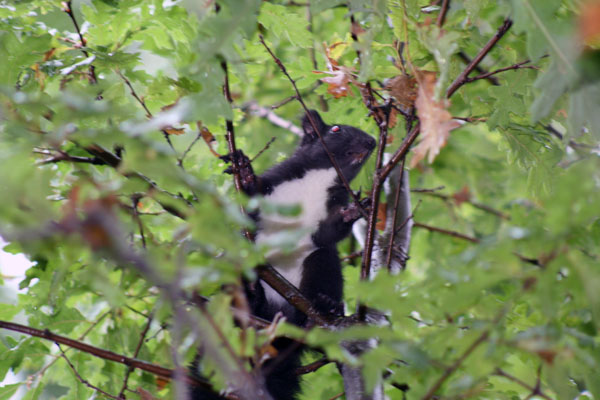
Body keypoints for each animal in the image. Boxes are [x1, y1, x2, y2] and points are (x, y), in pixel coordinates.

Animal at [192, 110, 376, 400]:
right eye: (336, 129)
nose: (372, 142)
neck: (319, 178)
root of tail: (276, 315)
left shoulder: (329, 209)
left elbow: (327, 235)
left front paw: (355, 210)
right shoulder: (276, 182)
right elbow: (250, 201)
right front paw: (244, 171)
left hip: (319, 266)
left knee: (321, 267)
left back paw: (324, 305)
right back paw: (251, 296)